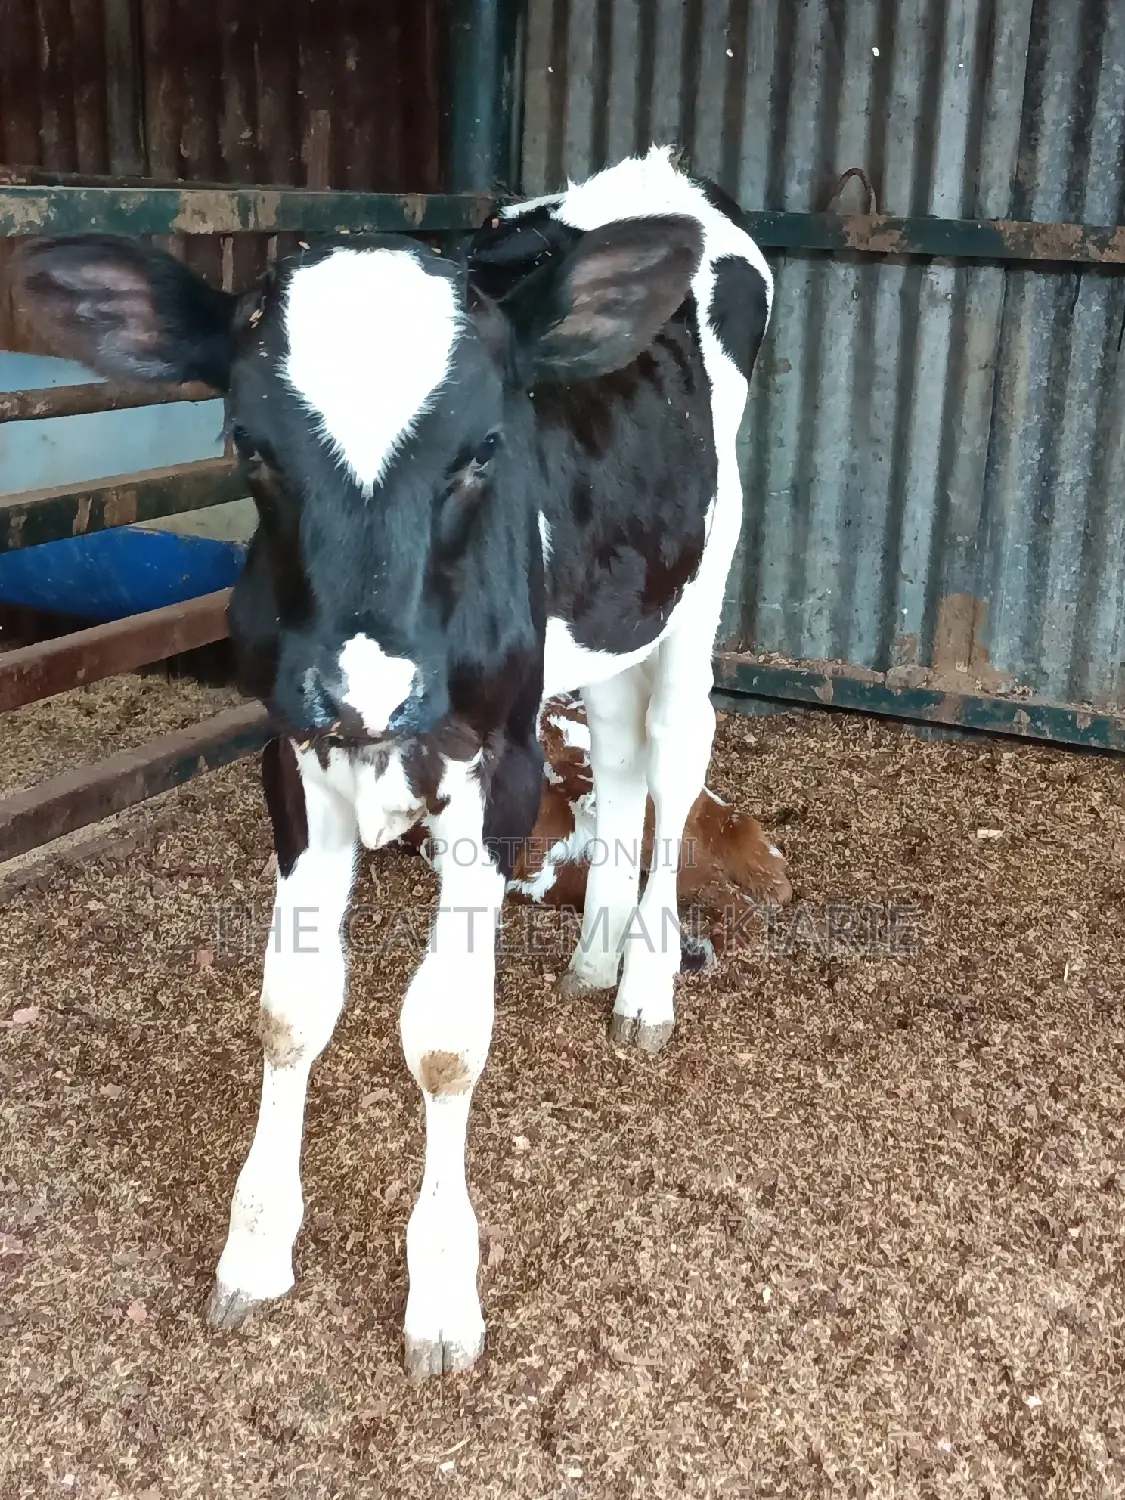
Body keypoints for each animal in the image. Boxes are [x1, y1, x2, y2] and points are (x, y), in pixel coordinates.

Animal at [15, 145, 773, 1378]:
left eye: (484, 449)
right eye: (248, 445)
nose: (365, 691)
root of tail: (656, 175)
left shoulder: (499, 771)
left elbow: (448, 1044)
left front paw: (442, 1297)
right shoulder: (292, 754)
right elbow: (290, 1009)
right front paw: (255, 1250)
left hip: (696, 593)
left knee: (671, 756)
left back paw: (646, 986)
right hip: (606, 612)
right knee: (615, 755)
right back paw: (596, 954)